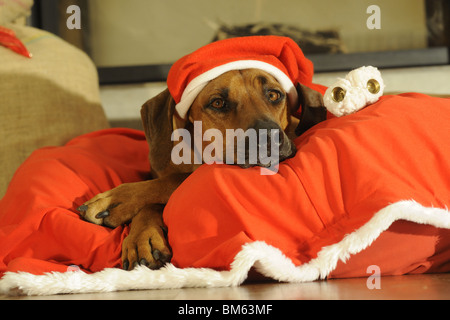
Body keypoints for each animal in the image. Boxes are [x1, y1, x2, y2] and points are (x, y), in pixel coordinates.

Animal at [76, 68, 324, 270]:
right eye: (218, 103)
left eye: (274, 95)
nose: (268, 136)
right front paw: (141, 236)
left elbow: (176, 180)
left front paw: (118, 200)